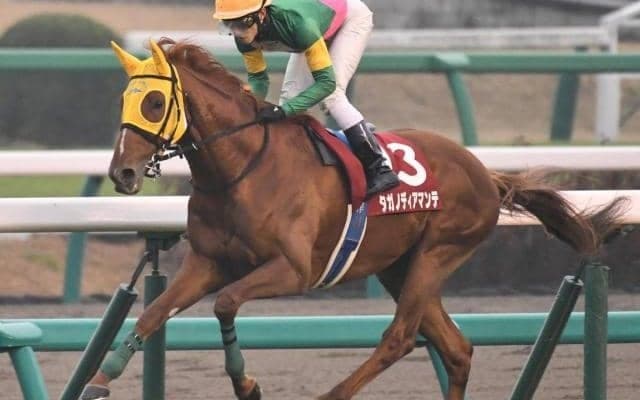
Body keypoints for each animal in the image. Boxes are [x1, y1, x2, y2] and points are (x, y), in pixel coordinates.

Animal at [83, 38, 626, 400]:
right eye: (124, 100)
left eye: (155, 102)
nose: (122, 172)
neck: (241, 169)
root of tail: (484, 173)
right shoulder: (206, 262)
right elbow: (153, 314)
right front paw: (98, 381)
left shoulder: (293, 270)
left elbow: (226, 304)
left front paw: (248, 384)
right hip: (398, 267)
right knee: (455, 348)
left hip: (437, 253)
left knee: (400, 337)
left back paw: (334, 395)